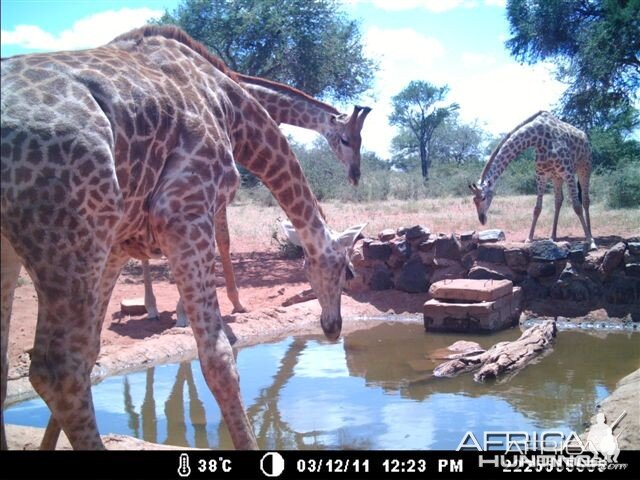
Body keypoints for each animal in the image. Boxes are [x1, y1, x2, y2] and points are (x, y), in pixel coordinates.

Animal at [140, 78, 370, 326]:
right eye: (345, 139)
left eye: (361, 140)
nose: (355, 175)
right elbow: (221, 239)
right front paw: (202, 308)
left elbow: (219, 240)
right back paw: (151, 307)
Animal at [464, 111, 596, 249]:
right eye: (473, 200)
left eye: (483, 198)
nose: (482, 220)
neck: (539, 139)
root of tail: (585, 137)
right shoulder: (541, 175)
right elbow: (537, 208)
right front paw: (529, 238)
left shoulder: (568, 172)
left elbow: (577, 206)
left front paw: (590, 241)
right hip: (557, 177)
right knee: (558, 201)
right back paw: (552, 236)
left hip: (584, 168)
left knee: (585, 200)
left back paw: (590, 236)